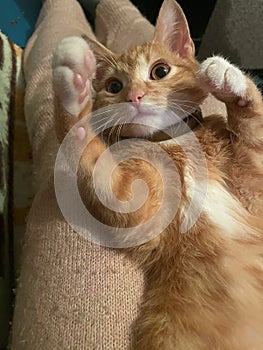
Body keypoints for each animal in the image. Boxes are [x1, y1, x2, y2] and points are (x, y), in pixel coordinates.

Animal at [52, 1, 263, 348]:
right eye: (114, 87)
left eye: (160, 71)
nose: (134, 96)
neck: (173, 142)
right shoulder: (136, 210)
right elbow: (90, 155)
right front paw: (72, 89)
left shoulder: (254, 188)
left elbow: (252, 130)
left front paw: (229, 79)